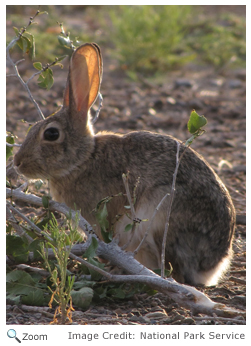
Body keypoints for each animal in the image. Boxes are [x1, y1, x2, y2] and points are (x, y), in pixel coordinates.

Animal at [14, 44, 235, 286]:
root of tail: (212, 265)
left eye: (51, 134)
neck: (84, 159)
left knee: (174, 273)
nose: (17, 163)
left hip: (160, 217)